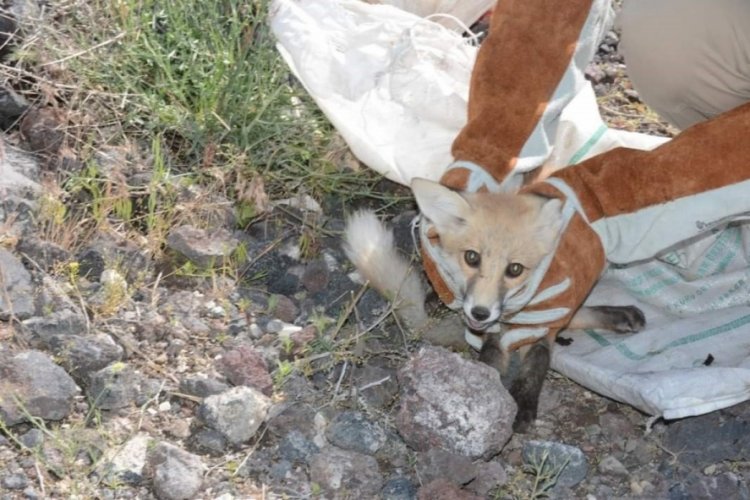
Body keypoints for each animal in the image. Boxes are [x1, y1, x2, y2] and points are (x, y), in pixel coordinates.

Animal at [346, 178, 648, 432]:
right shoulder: (494, 334)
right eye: (471, 257)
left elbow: (535, 367)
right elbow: (490, 362)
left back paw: (621, 315)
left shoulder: (543, 325)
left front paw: (523, 406)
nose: (480, 313)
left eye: (515, 269)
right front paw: (488, 393)